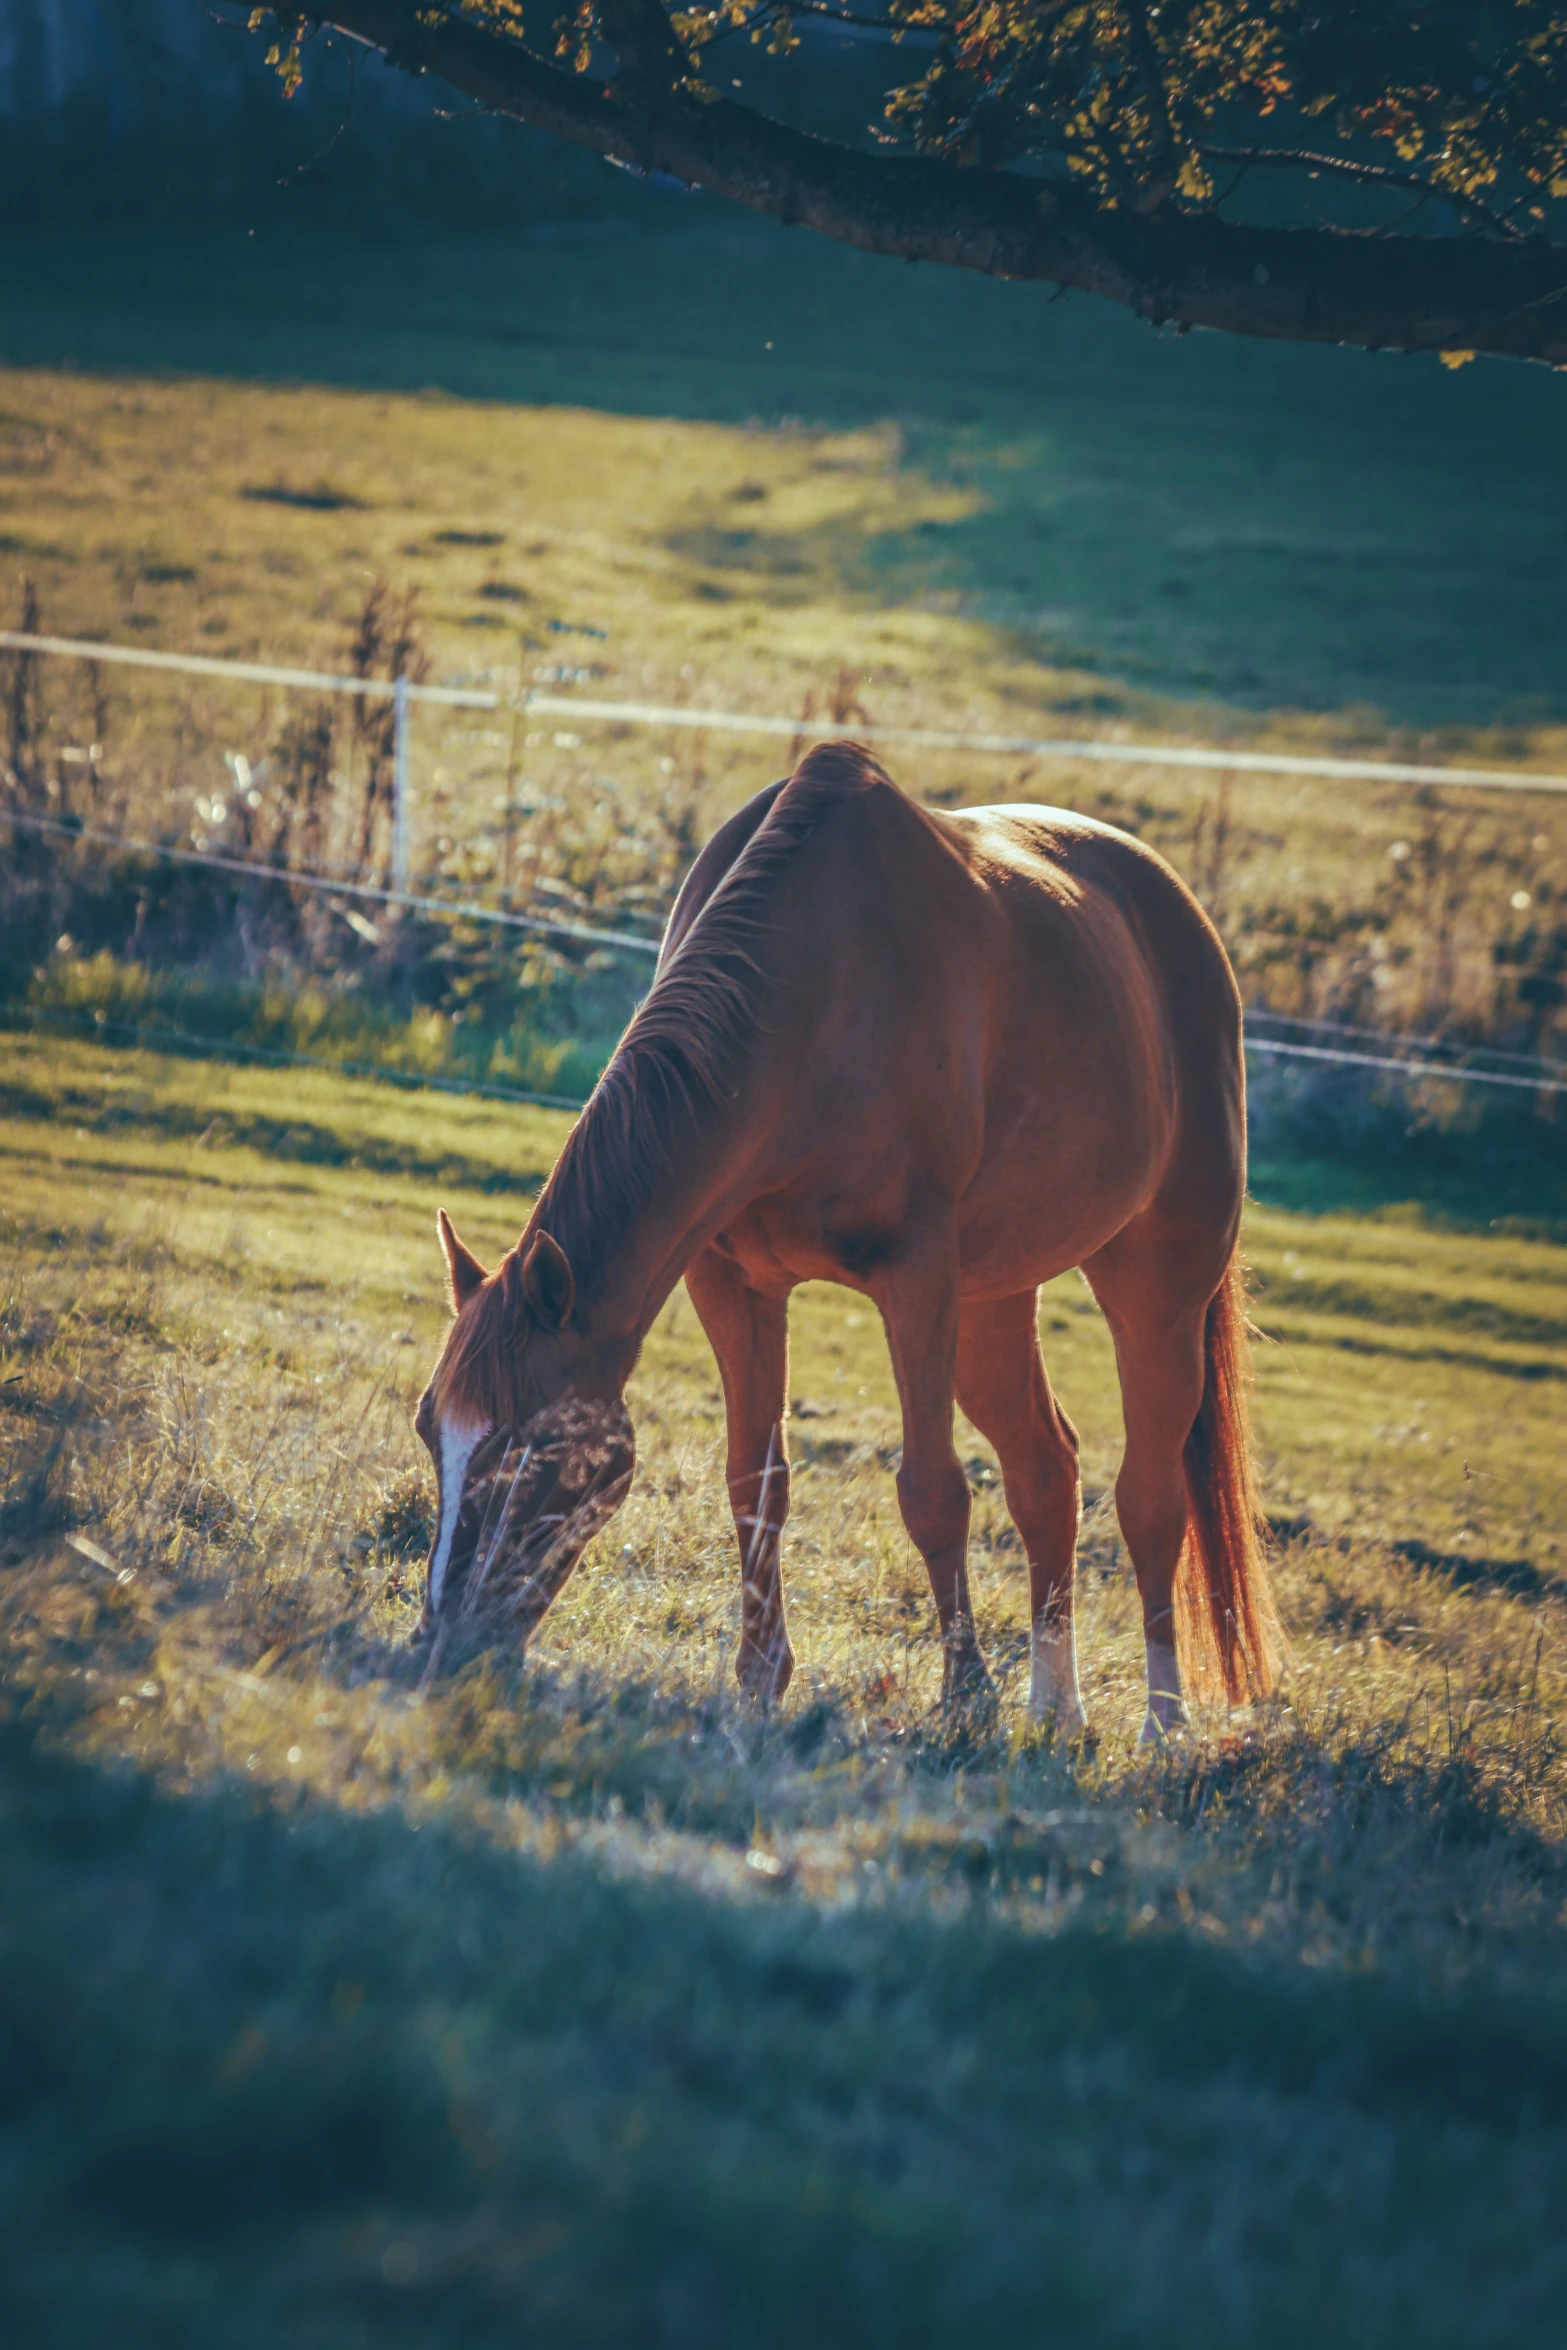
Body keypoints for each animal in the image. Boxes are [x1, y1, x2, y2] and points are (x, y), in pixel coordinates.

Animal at [411, 742, 1278, 1738]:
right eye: (430, 1429)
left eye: (533, 1452)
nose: (440, 1649)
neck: (810, 993)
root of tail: (1186, 928)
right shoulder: (731, 1282)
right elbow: (754, 1481)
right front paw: (758, 1680)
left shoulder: (916, 1276)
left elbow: (932, 1491)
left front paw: (965, 1697)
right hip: (993, 1301)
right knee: (1044, 1474)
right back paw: (1055, 1709)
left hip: (1156, 1287)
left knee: (1148, 1498)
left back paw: (1162, 1722)